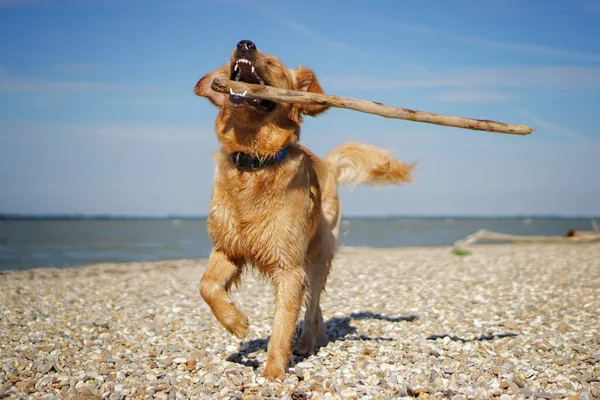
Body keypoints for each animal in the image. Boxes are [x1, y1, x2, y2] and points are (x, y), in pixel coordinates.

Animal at [195, 39, 414, 378]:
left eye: (273, 63)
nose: (245, 43)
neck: (254, 161)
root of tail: (328, 165)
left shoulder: (289, 266)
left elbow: (282, 324)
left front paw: (272, 373)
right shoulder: (228, 247)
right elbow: (206, 286)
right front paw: (236, 322)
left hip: (318, 254)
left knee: (310, 307)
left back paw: (307, 342)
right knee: (314, 303)